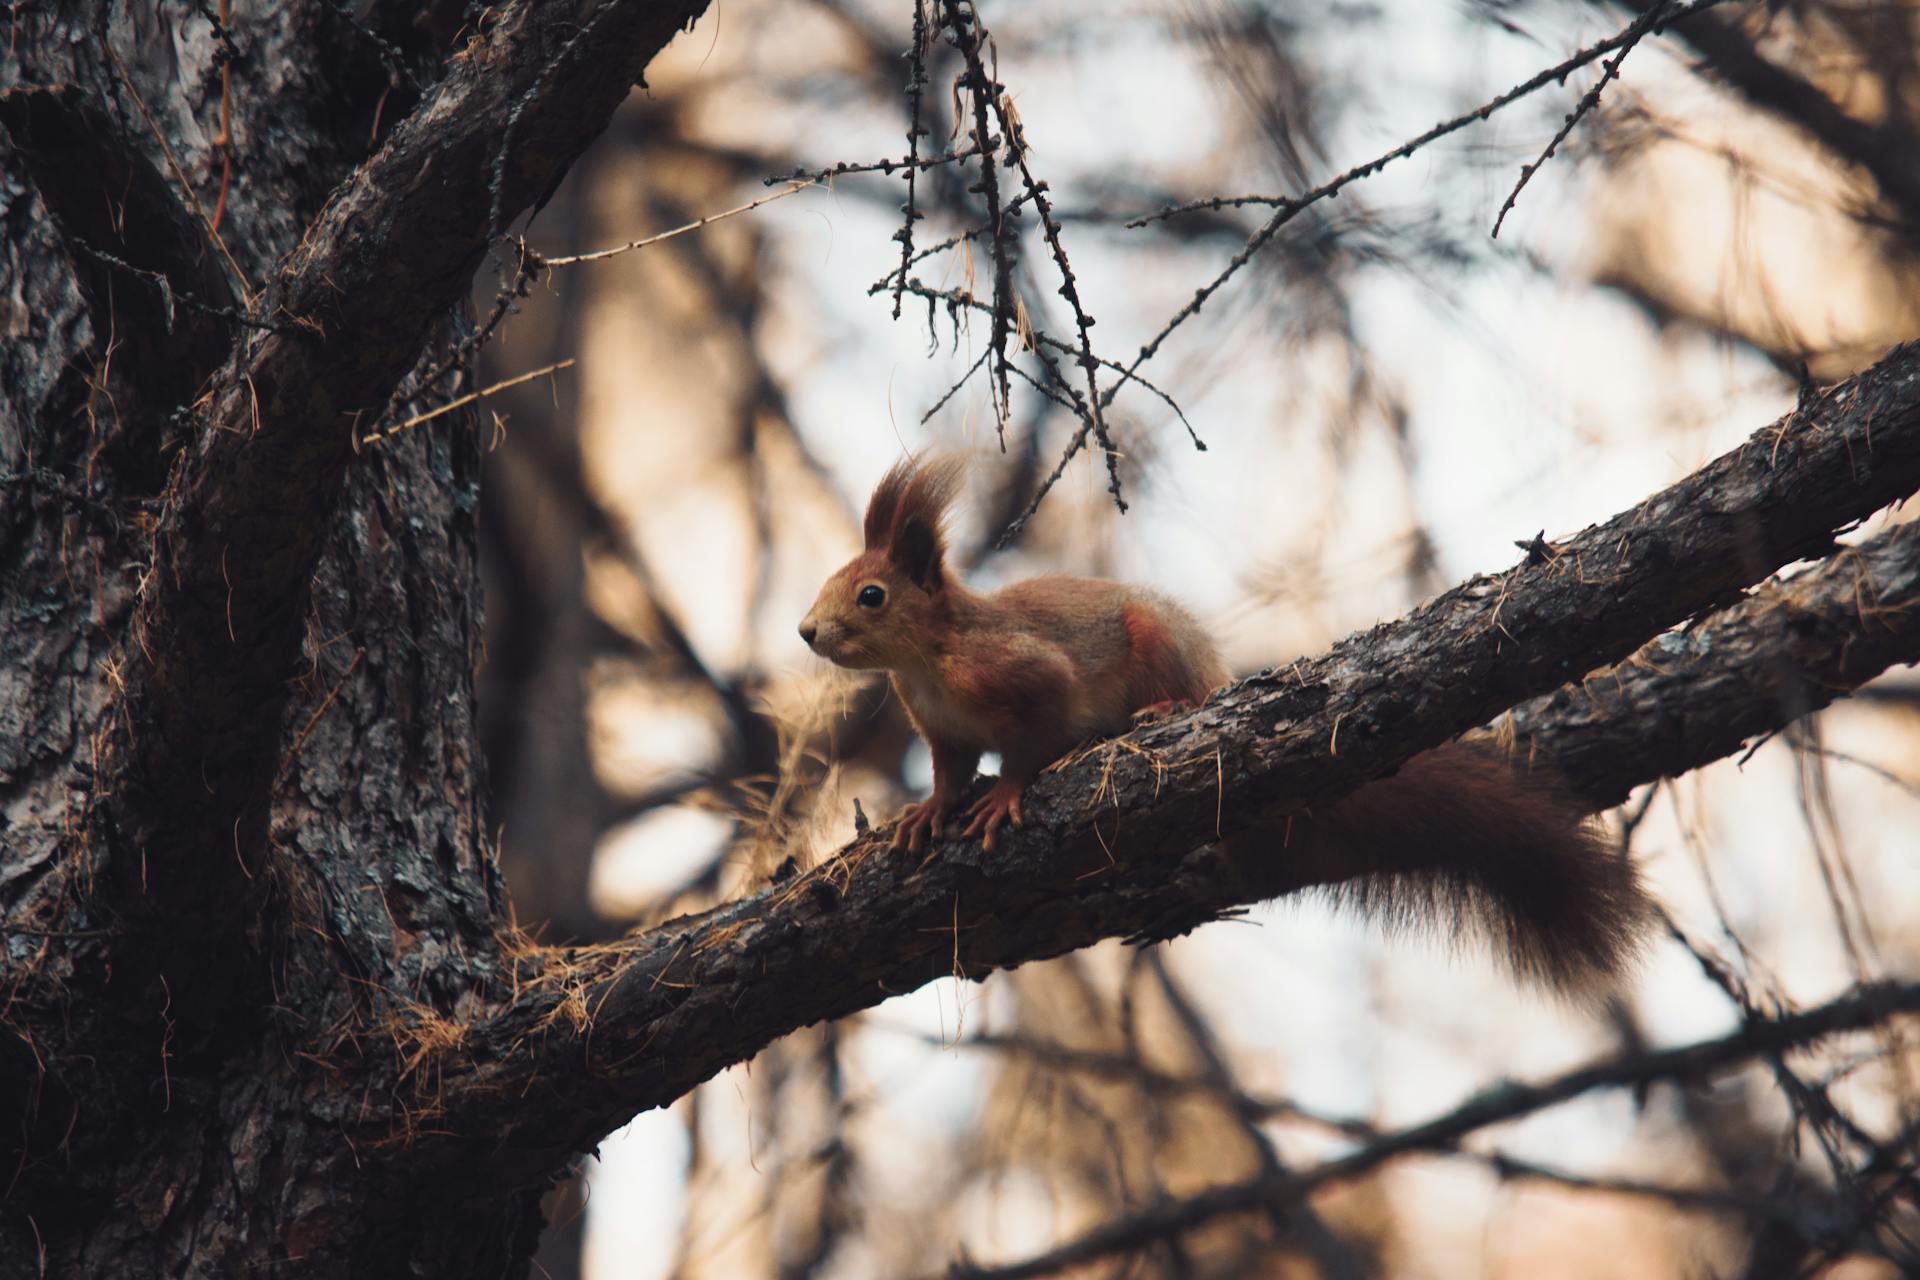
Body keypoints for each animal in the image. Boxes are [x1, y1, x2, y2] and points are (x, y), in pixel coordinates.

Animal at [802, 454, 1658, 997]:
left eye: (872, 595)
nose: (808, 632)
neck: (924, 661)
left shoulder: (1026, 674)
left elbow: (1032, 741)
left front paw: (1003, 795)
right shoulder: (941, 729)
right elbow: (949, 770)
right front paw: (928, 813)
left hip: (1155, 643)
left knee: (1167, 691)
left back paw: (1166, 711)